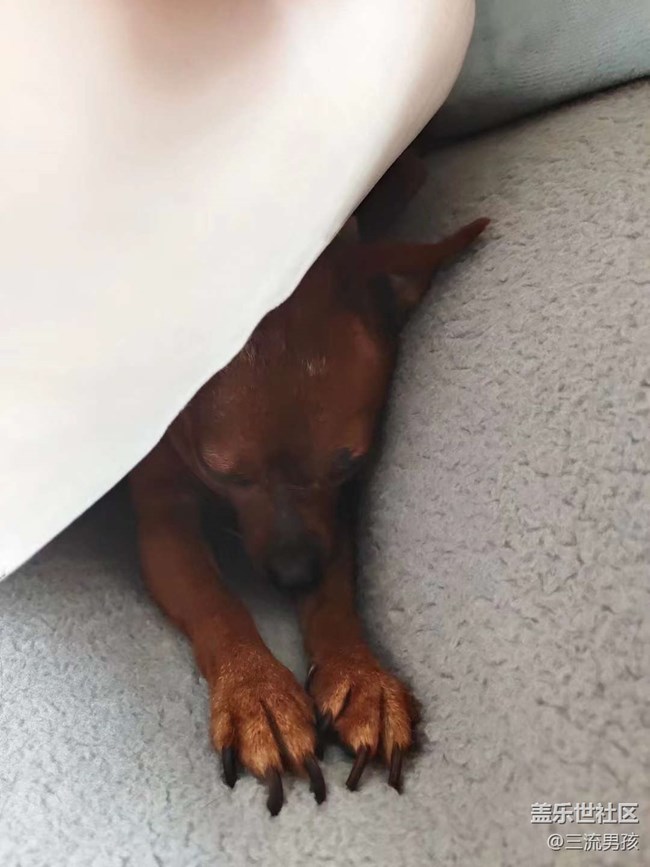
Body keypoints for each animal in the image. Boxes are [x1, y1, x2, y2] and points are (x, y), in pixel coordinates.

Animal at [130, 155, 488, 815]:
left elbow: (338, 592)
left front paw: (360, 675)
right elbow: (214, 601)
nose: (294, 574)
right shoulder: (162, 518)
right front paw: (255, 692)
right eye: (225, 473)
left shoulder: (332, 518)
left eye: (350, 465)